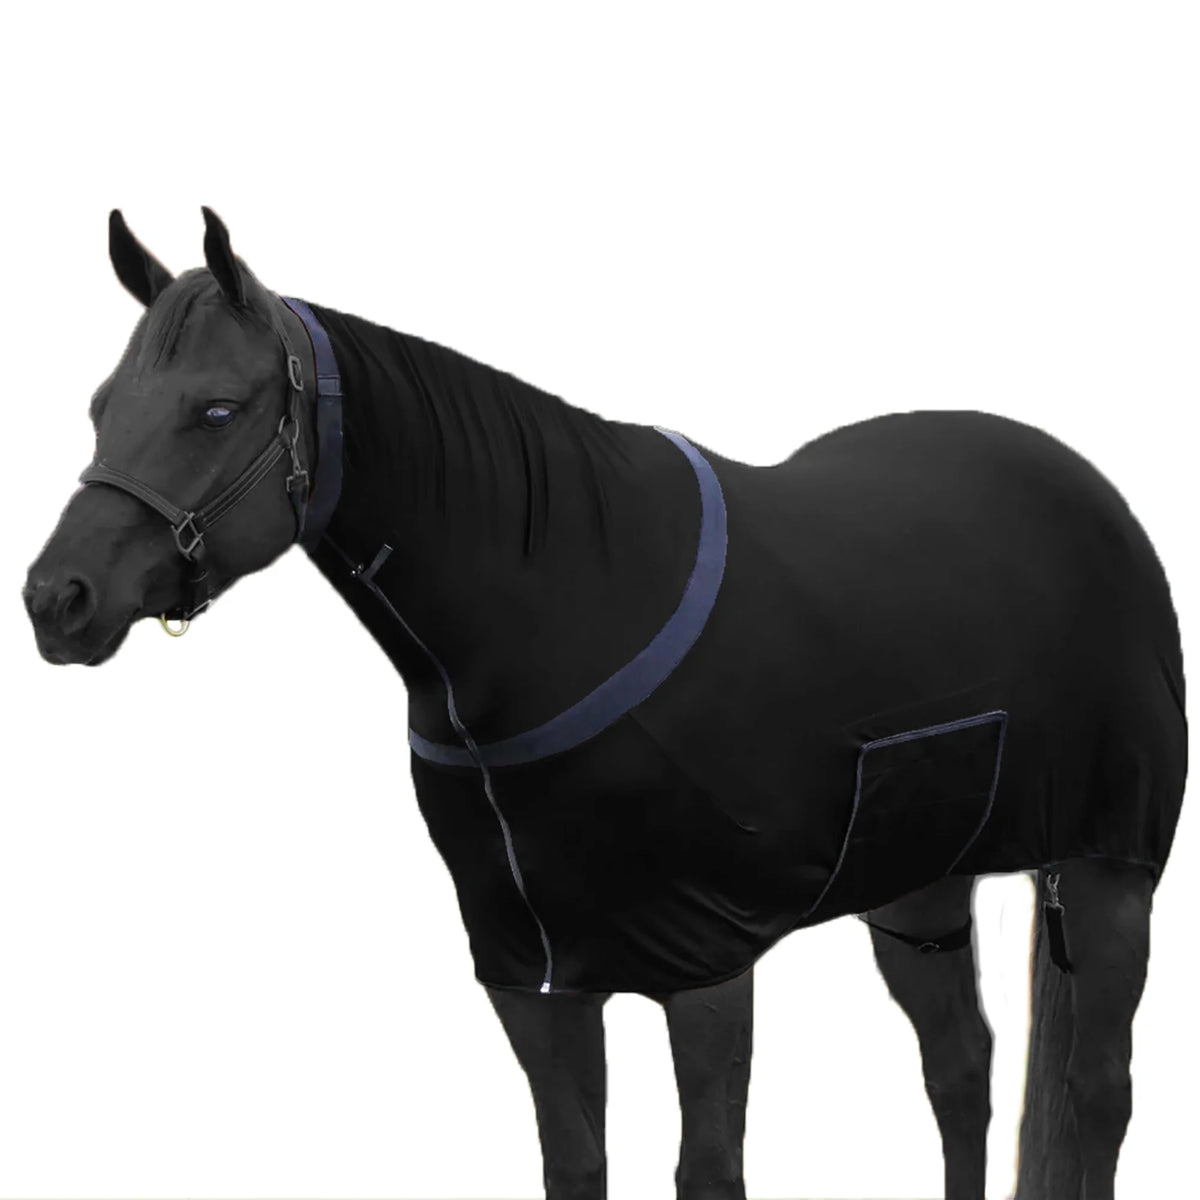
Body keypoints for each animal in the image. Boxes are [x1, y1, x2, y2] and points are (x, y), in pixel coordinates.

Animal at [24, 208, 1187, 1200]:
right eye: (101, 407)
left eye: (216, 409)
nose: (55, 600)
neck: (569, 610)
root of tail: (1086, 490)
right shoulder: (534, 977)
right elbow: (575, 1163)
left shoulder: (704, 963)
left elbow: (707, 1171)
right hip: (921, 885)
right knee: (962, 1069)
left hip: (1108, 872)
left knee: (1096, 1095)